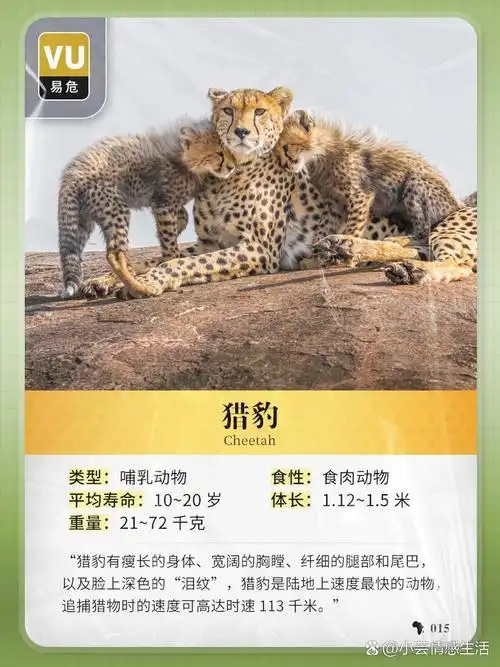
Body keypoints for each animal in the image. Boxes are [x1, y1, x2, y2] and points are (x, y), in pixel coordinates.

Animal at [57, 118, 236, 299]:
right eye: (219, 153)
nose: (232, 167)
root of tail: (71, 175)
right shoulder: (165, 203)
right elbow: (170, 243)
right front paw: (170, 259)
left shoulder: (164, 202)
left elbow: (181, 218)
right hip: (115, 211)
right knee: (114, 253)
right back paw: (137, 285)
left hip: (81, 222)